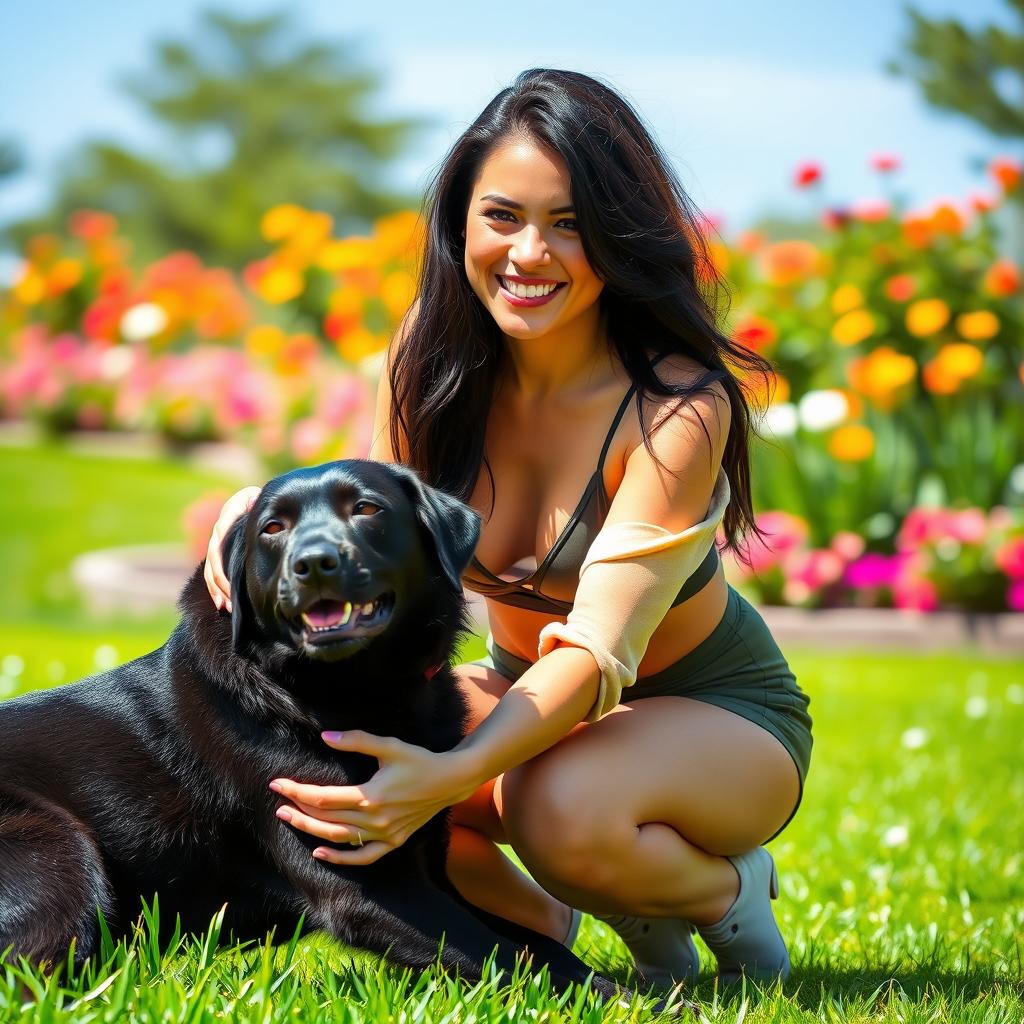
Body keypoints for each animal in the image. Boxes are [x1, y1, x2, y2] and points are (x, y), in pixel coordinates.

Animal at [0, 462, 618, 999]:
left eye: (366, 509)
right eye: (273, 528)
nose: (315, 563)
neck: (348, 691)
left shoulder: (425, 869)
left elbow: (539, 947)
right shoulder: (367, 888)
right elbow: (508, 955)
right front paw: (626, 1001)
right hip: (61, 851)